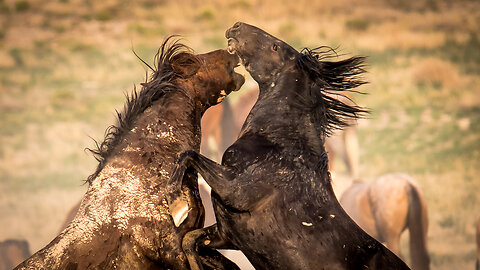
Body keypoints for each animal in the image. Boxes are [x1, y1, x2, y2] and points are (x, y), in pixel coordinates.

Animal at [167, 23, 410, 270]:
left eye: (276, 46)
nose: (236, 27)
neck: (278, 140)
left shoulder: (235, 190)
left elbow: (189, 156)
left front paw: (175, 199)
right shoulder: (228, 235)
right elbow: (189, 240)